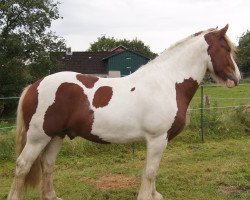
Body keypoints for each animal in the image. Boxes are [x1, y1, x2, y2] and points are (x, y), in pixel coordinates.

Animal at [7, 25, 240, 200]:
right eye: (226, 49)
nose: (237, 78)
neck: (167, 83)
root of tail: (34, 85)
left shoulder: (157, 140)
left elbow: (151, 170)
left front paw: (154, 195)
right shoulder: (157, 139)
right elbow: (150, 171)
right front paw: (147, 197)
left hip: (56, 135)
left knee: (47, 165)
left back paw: (52, 196)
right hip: (38, 137)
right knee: (22, 166)